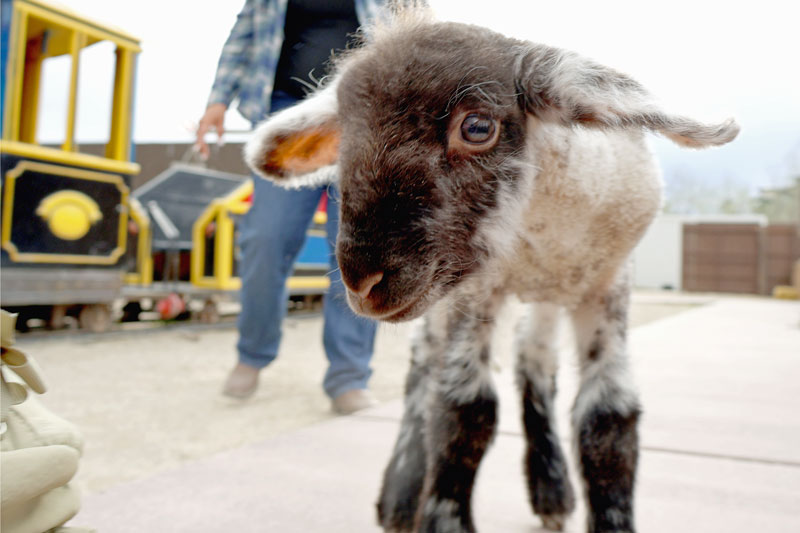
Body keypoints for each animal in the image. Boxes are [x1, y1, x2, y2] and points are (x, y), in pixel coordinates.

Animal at [243, 6, 739, 533]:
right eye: (343, 141)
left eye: (478, 128)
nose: (363, 279)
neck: (541, 232)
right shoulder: (475, 291)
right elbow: (465, 408)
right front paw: (441, 516)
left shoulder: (608, 284)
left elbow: (609, 417)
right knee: (426, 364)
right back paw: (400, 496)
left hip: (546, 295)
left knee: (533, 358)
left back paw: (550, 490)